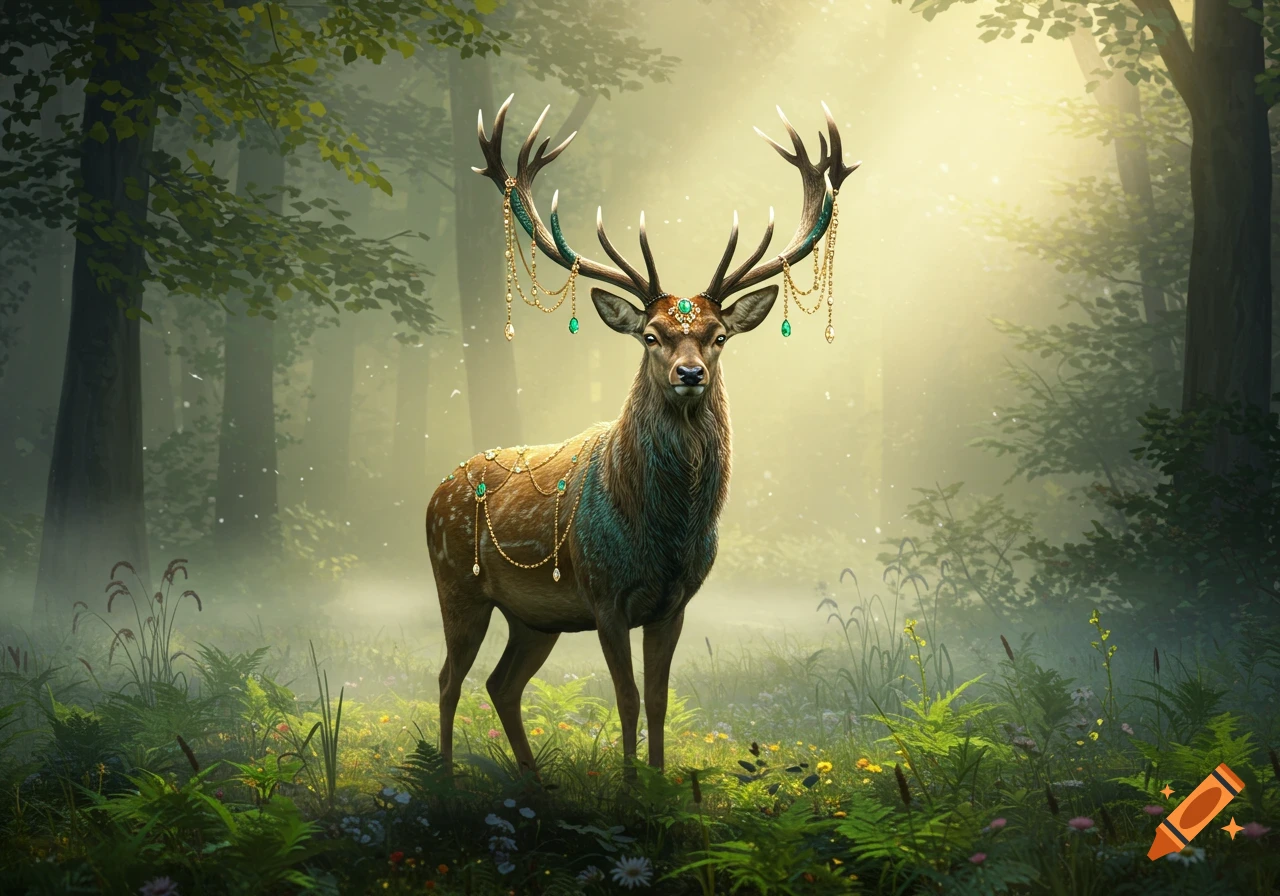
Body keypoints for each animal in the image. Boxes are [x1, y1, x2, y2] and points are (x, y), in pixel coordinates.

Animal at [426, 95, 859, 778]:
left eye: (718, 335)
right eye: (651, 335)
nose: (690, 374)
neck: (662, 533)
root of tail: (432, 493)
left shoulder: (675, 602)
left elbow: (658, 699)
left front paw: (656, 783)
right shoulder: (605, 595)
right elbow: (626, 699)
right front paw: (630, 788)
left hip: (535, 617)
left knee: (501, 683)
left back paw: (535, 782)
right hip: (456, 583)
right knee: (448, 679)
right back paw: (443, 779)